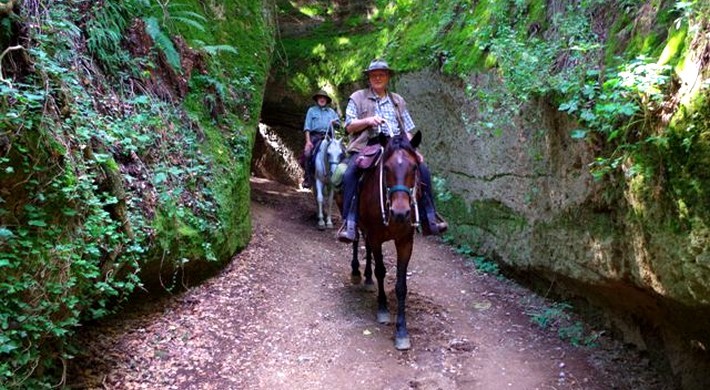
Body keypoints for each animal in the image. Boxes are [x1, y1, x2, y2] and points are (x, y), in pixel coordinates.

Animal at [352, 131, 420, 350]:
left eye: (414, 167)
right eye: (387, 168)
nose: (400, 212)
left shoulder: (406, 241)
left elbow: (401, 286)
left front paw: (402, 331)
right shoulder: (376, 237)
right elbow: (381, 271)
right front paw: (382, 308)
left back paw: (366, 278)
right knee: (356, 241)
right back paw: (356, 272)